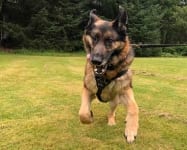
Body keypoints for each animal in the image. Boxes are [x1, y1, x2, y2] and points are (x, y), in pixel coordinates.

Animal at [78, 6, 138, 143]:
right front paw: (89, 117)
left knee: (112, 112)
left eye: (109, 40)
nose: (95, 61)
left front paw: (131, 130)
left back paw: (113, 121)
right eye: (94, 38)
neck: (106, 74)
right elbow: (83, 112)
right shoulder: (88, 90)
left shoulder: (126, 90)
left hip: (114, 101)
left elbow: (134, 108)